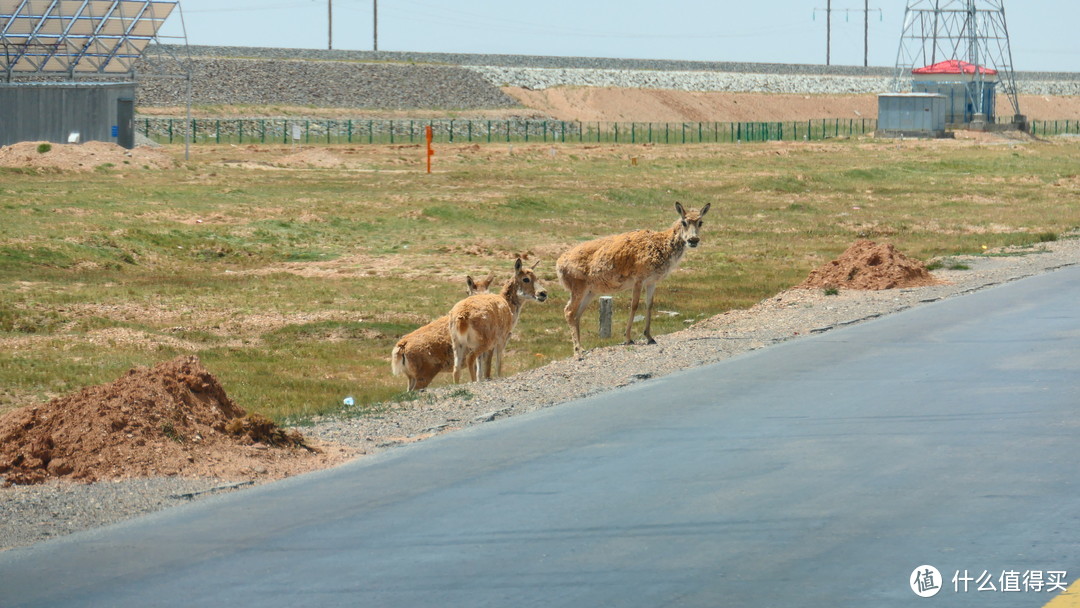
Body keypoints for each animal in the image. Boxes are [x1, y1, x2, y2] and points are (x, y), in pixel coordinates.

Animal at [557, 203, 708, 356]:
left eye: (700, 222)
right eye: (684, 222)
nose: (693, 240)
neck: (662, 247)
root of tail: (558, 265)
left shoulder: (652, 281)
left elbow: (649, 305)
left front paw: (649, 337)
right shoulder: (639, 279)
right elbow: (634, 305)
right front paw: (628, 338)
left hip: (590, 291)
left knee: (577, 315)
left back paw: (581, 347)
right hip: (578, 287)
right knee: (568, 311)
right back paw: (578, 350)